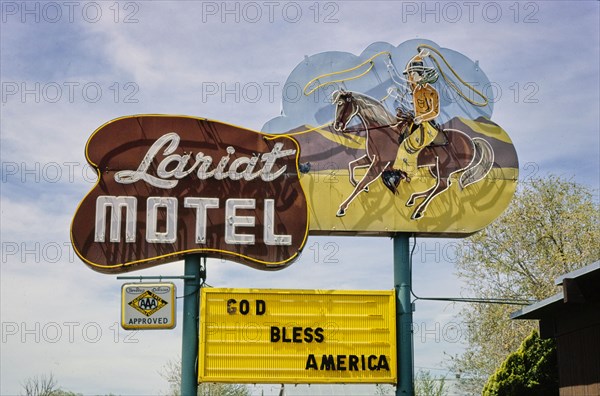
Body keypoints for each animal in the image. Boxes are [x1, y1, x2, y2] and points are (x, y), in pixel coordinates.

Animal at [332, 89, 492, 220]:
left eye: (341, 103)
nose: (338, 125)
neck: (383, 131)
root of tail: (471, 141)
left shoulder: (379, 165)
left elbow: (361, 183)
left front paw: (342, 208)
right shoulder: (371, 159)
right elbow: (351, 165)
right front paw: (356, 183)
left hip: (445, 169)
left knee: (441, 185)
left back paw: (418, 211)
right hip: (434, 168)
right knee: (440, 185)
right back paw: (413, 199)